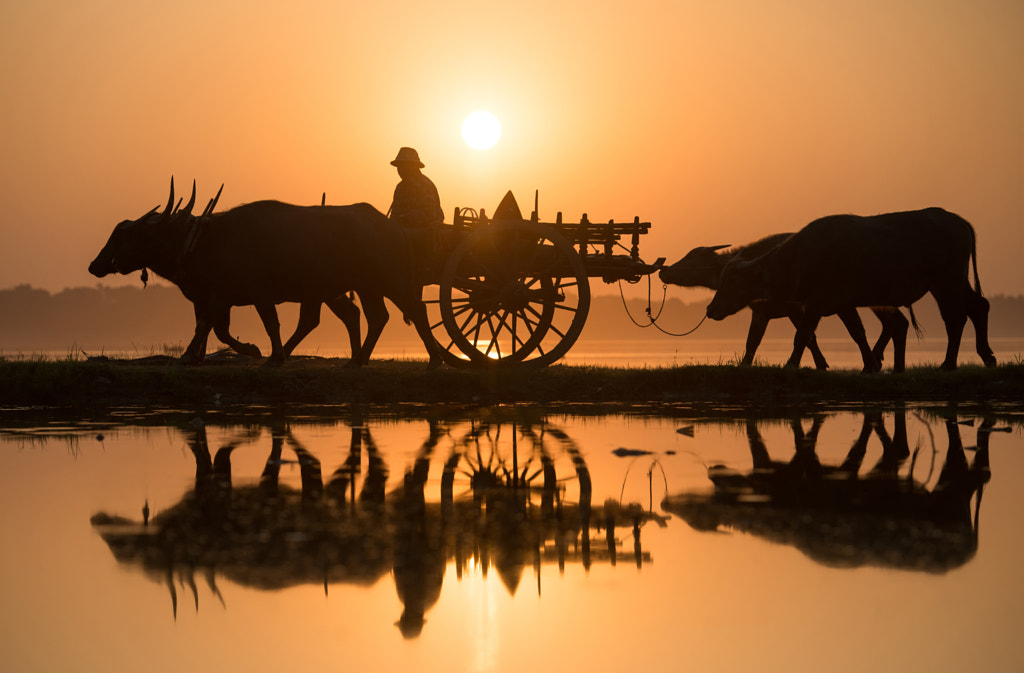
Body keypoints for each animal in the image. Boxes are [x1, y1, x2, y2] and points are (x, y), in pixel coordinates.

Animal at [89, 178, 440, 366]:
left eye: (124, 236)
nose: (95, 265)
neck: (206, 241)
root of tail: (394, 227)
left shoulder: (253, 294)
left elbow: (261, 324)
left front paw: (259, 352)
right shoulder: (216, 298)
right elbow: (212, 328)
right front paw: (196, 356)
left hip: (390, 281)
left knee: (416, 310)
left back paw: (435, 360)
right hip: (358, 288)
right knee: (368, 316)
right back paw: (355, 360)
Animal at [663, 234, 913, 372]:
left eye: (691, 258)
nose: (665, 271)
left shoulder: (794, 308)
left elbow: (806, 337)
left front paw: (817, 364)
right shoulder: (764, 312)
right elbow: (754, 341)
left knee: (873, 328)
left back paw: (874, 363)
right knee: (897, 323)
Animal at [704, 206, 991, 370]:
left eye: (732, 281)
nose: (711, 309)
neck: (801, 257)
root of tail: (958, 221)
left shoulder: (816, 304)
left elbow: (803, 335)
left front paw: (790, 364)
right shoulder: (842, 304)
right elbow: (857, 333)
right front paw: (869, 365)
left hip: (945, 282)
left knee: (955, 318)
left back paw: (949, 363)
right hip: (957, 281)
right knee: (979, 307)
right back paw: (987, 356)